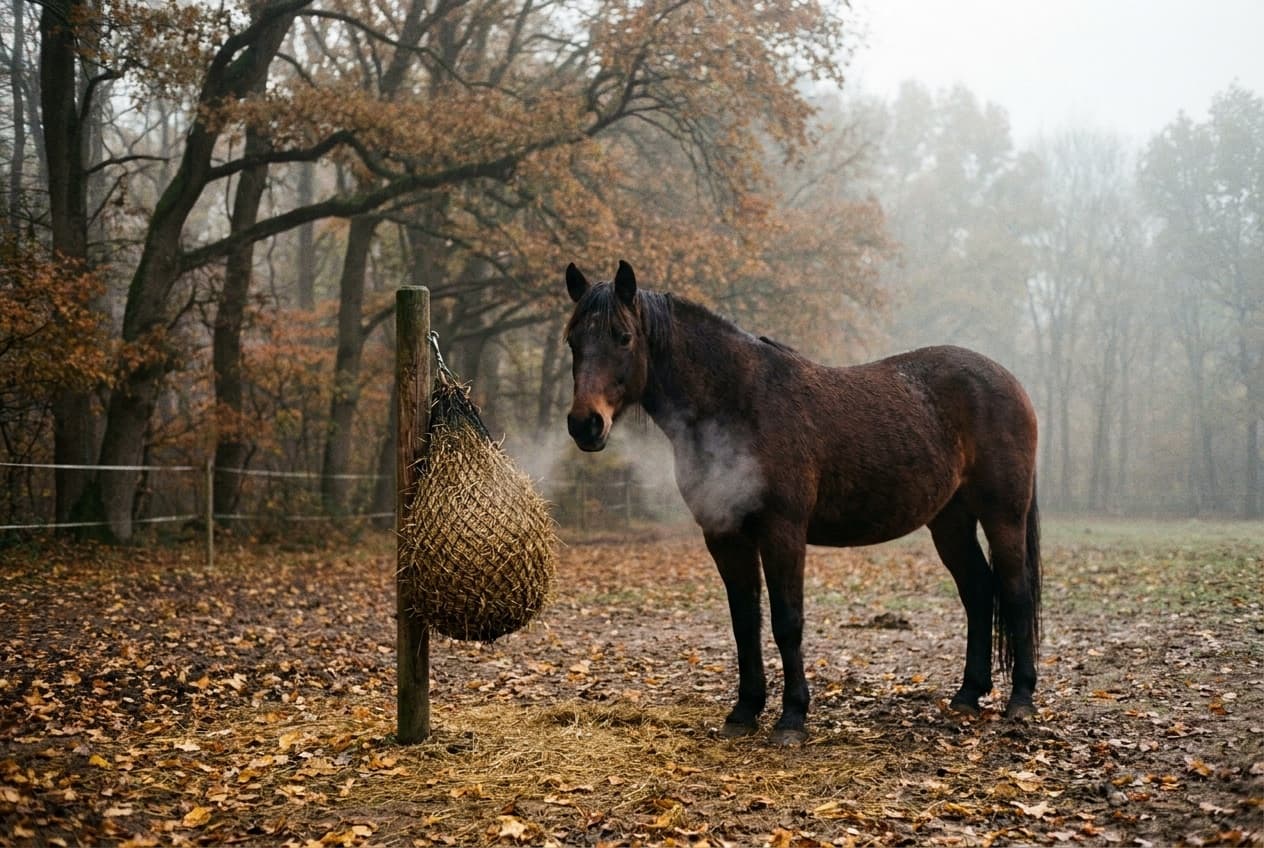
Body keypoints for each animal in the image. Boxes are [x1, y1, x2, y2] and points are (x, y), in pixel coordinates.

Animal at [563, 260, 1041, 745]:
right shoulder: (724, 534)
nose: (585, 424)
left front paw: (792, 717)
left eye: (624, 336)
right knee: (978, 591)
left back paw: (1021, 700)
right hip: (950, 521)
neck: (739, 405)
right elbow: (745, 621)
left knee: (1015, 592)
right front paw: (744, 711)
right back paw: (967, 695)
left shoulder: (783, 532)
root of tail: (1009, 381)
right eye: (573, 340)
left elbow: (786, 621)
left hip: (1003, 514)